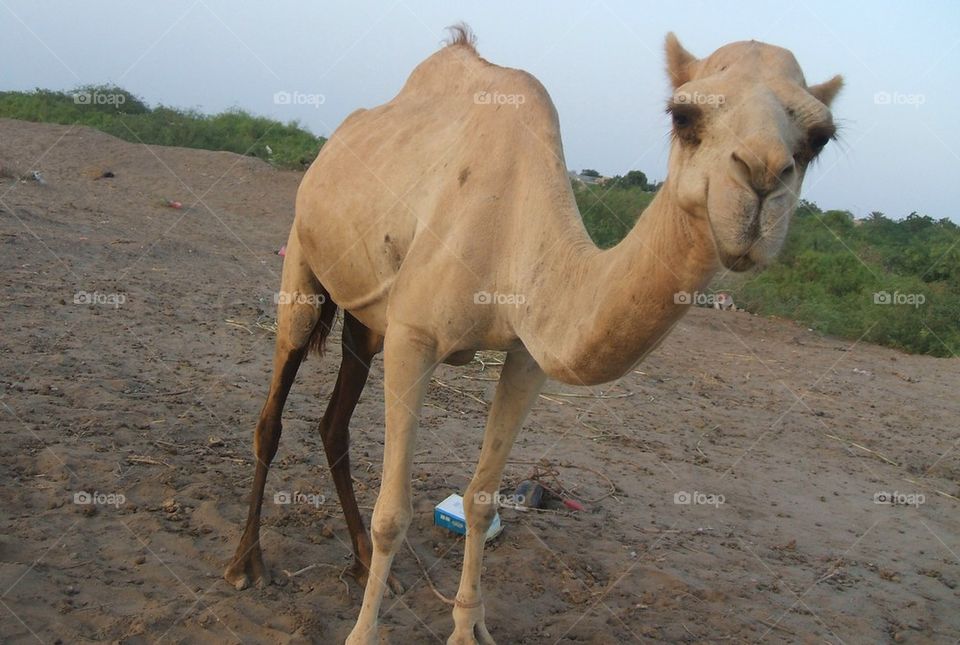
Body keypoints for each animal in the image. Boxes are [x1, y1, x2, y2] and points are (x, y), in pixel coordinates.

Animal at [225, 24, 841, 644]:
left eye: (819, 137)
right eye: (683, 114)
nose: (761, 180)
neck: (516, 233)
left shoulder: (526, 356)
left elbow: (481, 498)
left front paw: (469, 628)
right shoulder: (413, 337)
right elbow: (393, 513)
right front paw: (362, 635)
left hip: (364, 316)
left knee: (335, 423)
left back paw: (357, 562)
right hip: (303, 260)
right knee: (274, 410)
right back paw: (246, 564)